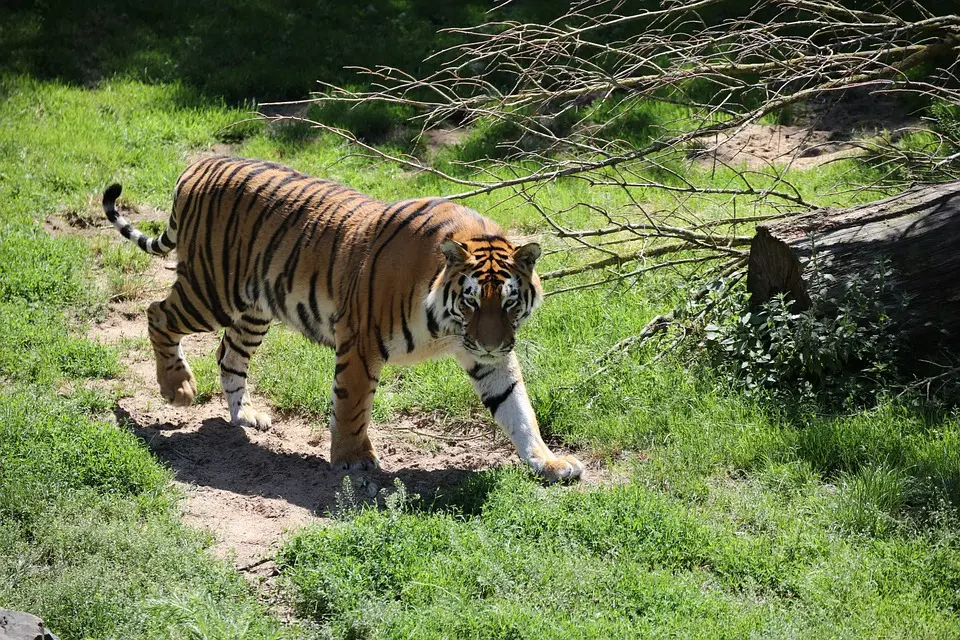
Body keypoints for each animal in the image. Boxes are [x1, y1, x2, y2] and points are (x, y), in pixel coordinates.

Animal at [105, 156, 584, 480]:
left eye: (508, 302)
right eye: (470, 302)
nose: (490, 343)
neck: (450, 327)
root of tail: (200, 163)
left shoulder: (490, 360)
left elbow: (519, 410)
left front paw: (550, 462)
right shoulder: (361, 339)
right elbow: (353, 404)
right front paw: (355, 462)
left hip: (253, 308)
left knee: (228, 354)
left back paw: (247, 416)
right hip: (211, 291)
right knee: (158, 314)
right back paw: (178, 388)